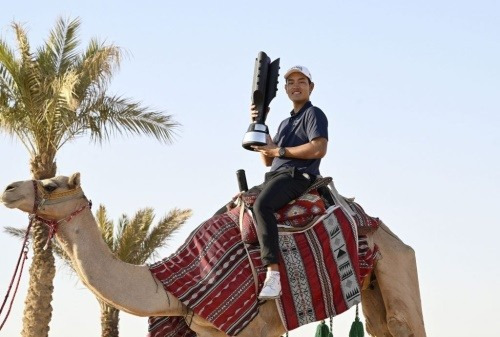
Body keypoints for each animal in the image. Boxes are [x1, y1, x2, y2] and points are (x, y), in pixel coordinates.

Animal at [1, 173, 426, 336]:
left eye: (51, 184)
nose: (9, 189)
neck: (172, 285)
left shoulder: (255, 326)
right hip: (371, 285)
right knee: (382, 325)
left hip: (397, 263)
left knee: (404, 323)